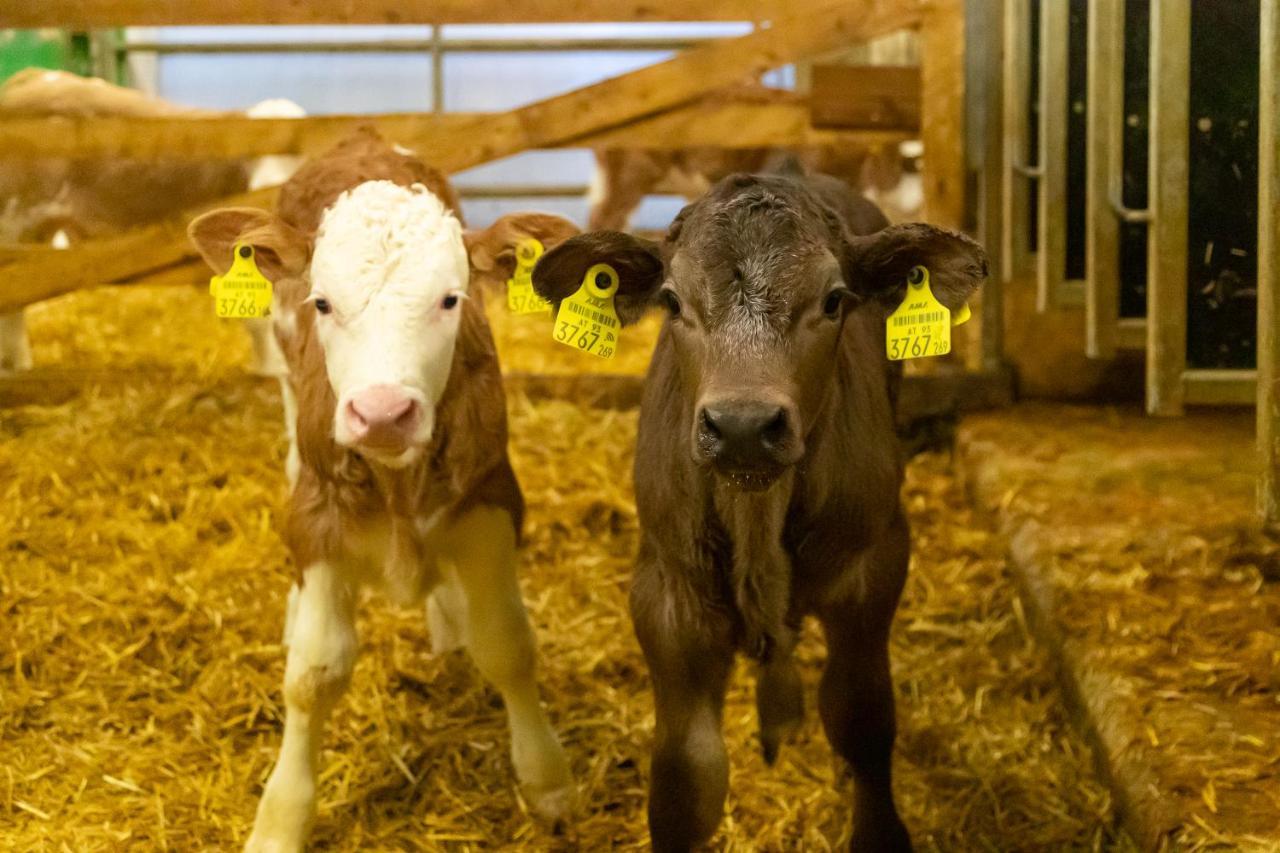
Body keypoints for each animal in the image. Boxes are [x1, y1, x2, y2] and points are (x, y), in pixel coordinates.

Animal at [190, 129, 581, 845]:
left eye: (451, 298)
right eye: (322, 302)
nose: (381, 412)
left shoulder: (491, 499)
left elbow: (508, 645)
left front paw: (547, 780)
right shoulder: (317, 519)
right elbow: (314, 675)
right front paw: (281, 819)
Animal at [535, 169, 983, 845]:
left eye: (834, 300)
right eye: (672, 302)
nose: (742, 425)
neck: (758, 514)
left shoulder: (874, 565)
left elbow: (862, 719)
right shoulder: (667, 593)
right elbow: (687, 778)